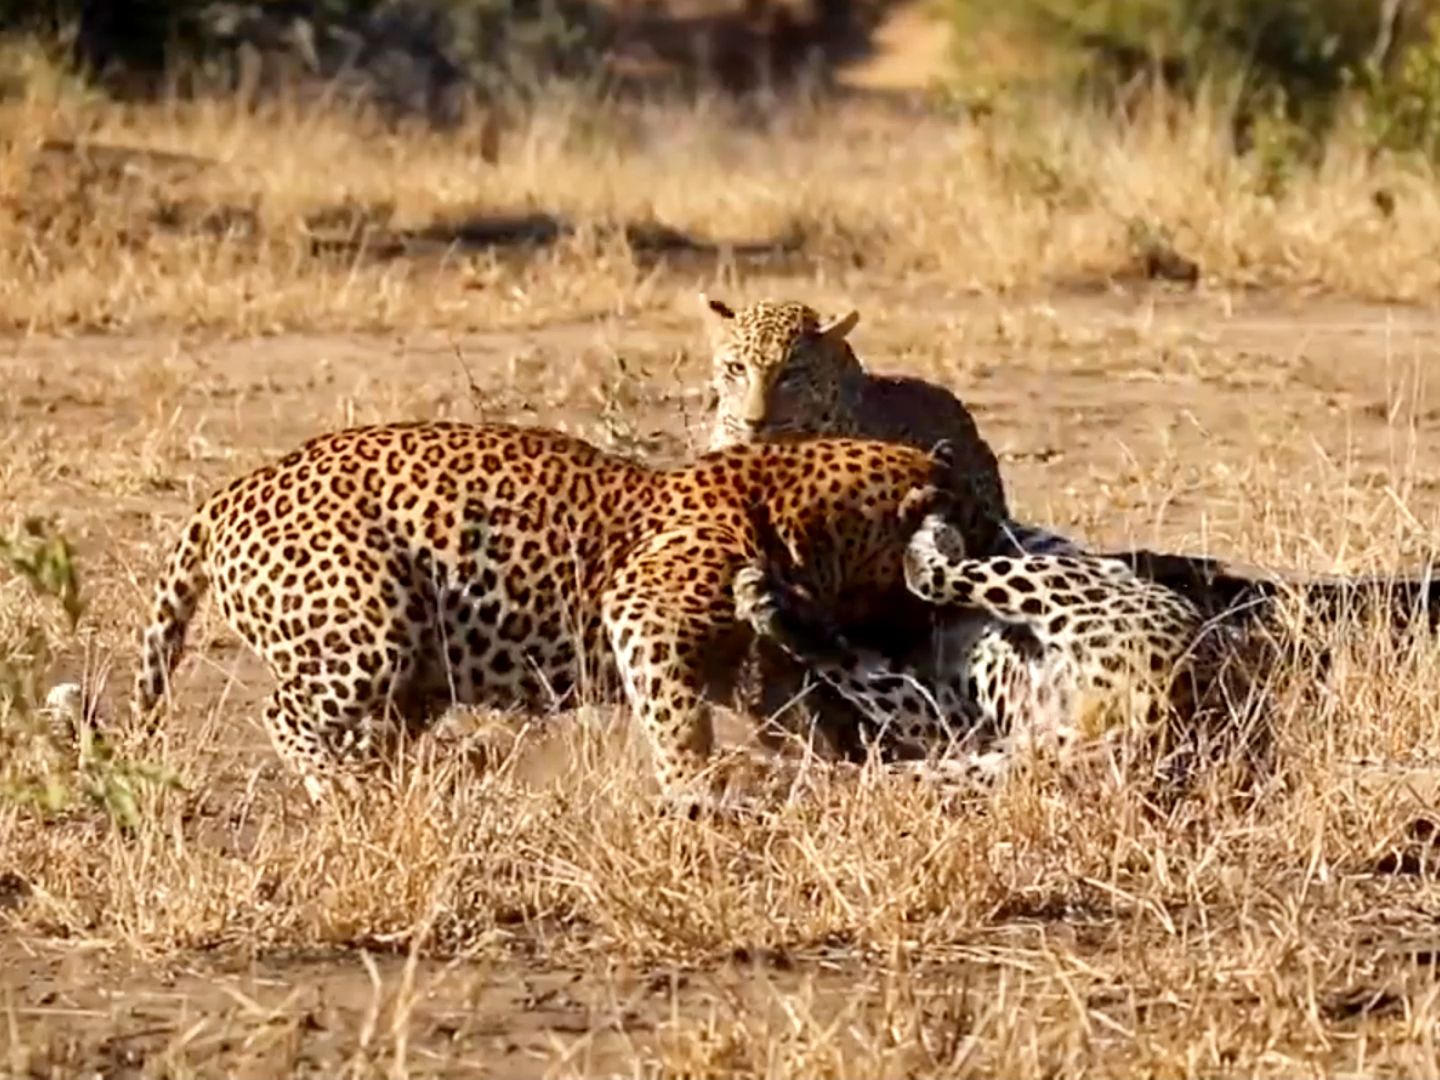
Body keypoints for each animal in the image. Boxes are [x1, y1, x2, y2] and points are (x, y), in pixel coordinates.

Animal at [137, 423, 979, 806]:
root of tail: (227, 494)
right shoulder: (642, 608)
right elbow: (676, 714)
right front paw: (691, 789)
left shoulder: (773, 676)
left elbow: (853, 709)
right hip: (369, 634)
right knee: (282, 710)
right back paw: (342, 789)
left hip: (412, 674)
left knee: (370, 729)